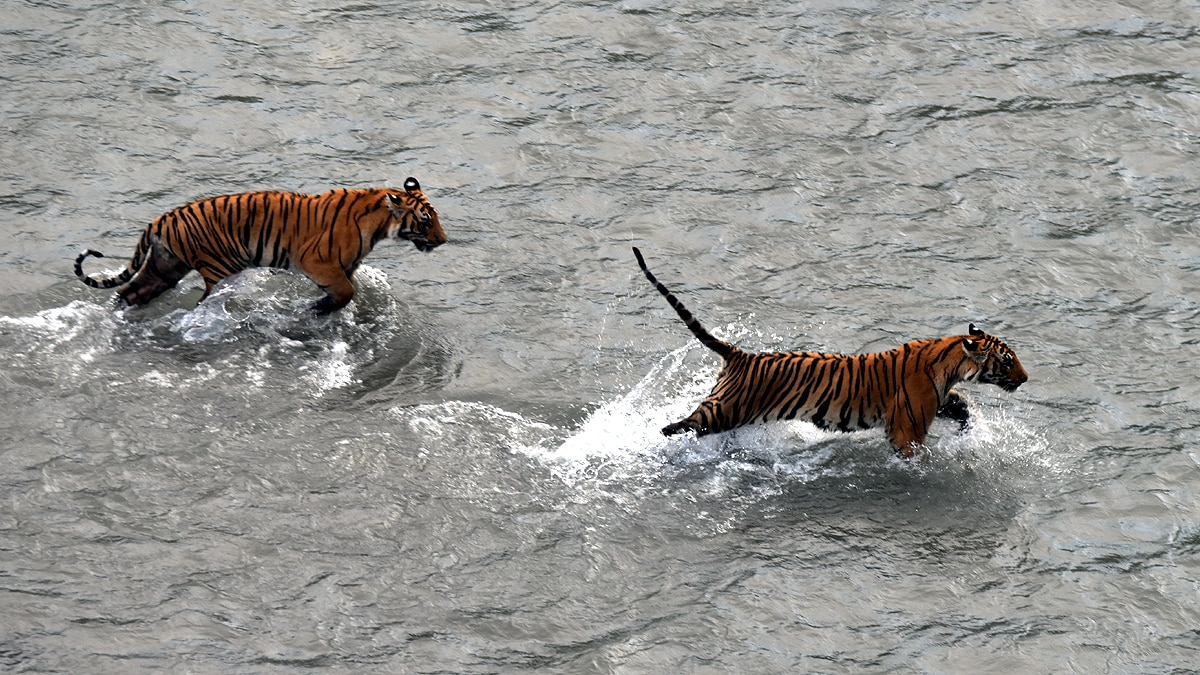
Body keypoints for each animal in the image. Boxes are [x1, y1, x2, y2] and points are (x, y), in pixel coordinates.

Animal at [74, 177, 447, 314]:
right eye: (426, 220)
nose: (444, 240)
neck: (380, 222)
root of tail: (161, 219)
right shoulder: (317, 261)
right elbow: (346, 292)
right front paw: (318, 309)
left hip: (164, 267)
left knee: (129, 292)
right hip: (219, 268)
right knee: (202, 301)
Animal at [632, 247, 1028, 458]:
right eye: (1008, 361)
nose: (1025, 379)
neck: (949, 361)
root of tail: (740, 355)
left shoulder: (937, 400)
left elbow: (964, 406)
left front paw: (969, 432)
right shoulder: (907, 427)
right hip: (720, 412)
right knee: (673, 427)